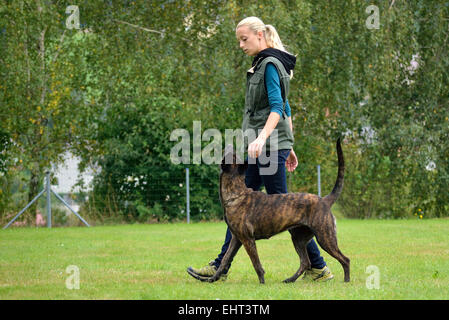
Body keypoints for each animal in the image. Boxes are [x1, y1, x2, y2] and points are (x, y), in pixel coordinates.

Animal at [205, 139, 348, 284]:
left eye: (231, 155)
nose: (230, 145)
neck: (236, 193)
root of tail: (324, 200)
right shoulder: (236, 239)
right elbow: (225, 259)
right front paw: (213, 278)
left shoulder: (247, 240)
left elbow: (256, 264)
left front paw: (262, 282)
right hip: (299, 238)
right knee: (305, 262)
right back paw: (290, 279)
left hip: (325, 237)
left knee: (345, 259)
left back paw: (346, 280)